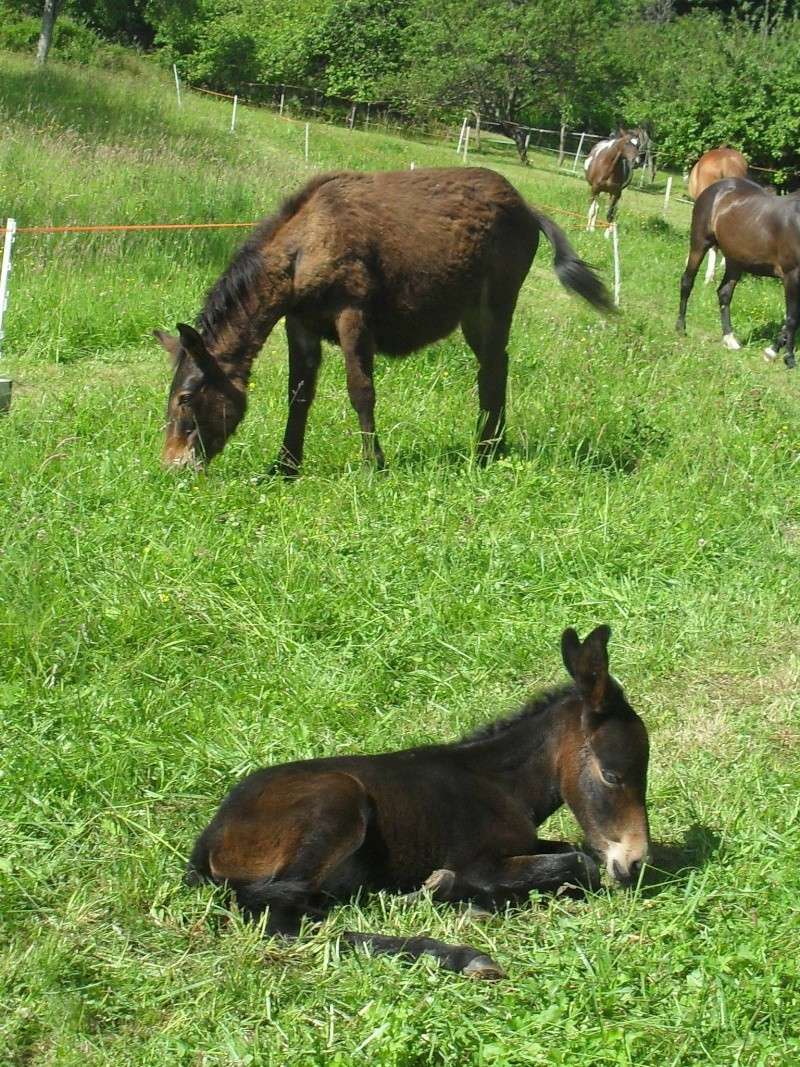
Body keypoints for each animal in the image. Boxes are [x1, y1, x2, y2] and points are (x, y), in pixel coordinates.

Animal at [153, 166, 610, 475]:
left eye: (186, 399)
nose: (173, 467)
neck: (300, 256)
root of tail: (530, 210)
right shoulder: (301, 324)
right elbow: (298, 396)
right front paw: (284, 467)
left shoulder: (352, 313)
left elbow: (361, 391)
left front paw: (375, 465)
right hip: (472, 313)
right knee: (493, 368)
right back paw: (490, 447)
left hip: (495, 303)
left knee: (493, 370)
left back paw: (485, 452)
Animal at [186, 623, 652, 981]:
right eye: (612, 775)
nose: (634, 863)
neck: (500, 783)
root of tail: (208, 842)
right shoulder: (479, 860)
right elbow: (581, 862)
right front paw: (453, 890)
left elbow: (570, 851)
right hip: (335, 804)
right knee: (286, 922)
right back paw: (460, 952)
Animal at [678, 178, 800, 367]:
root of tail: (716, 187)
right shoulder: (792, 274)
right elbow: (792, 318)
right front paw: (783, 356)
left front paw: (776, 352)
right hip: (699, 243)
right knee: (687, 281)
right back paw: (681, 328)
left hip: (735, 260)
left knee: (724, 293)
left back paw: (730, 339)